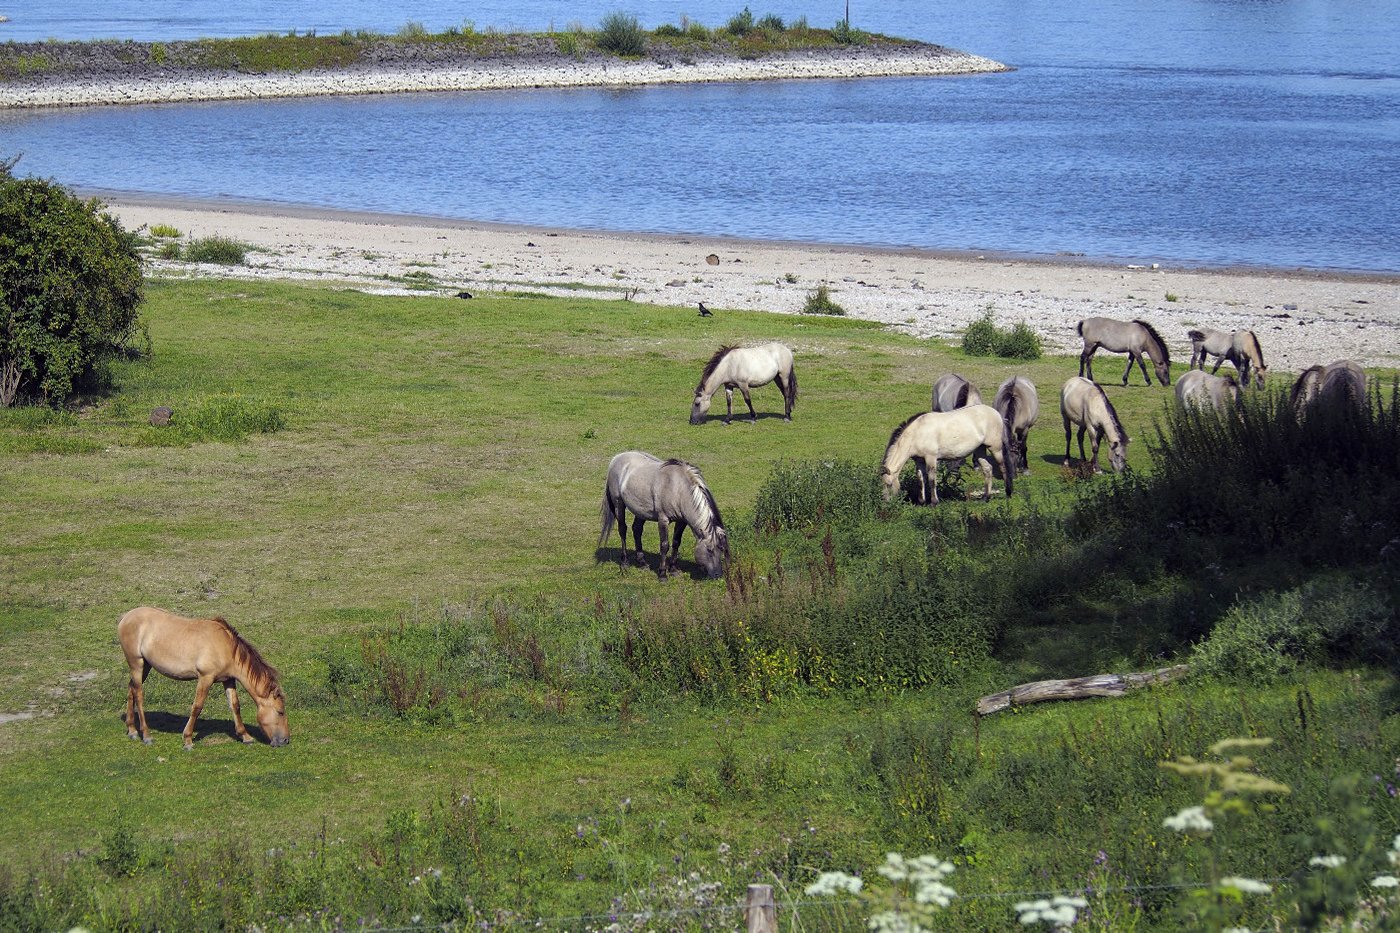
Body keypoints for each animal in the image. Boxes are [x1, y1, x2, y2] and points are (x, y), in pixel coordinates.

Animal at [117, 602, 289, 750]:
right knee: (139, 695)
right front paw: (187, 740)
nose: (286, 740)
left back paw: (132, 730)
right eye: (280, 712)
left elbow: (235, 705)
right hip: (136, 664)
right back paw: (146, 735)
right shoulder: (205, 678)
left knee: (131, 688)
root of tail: (125, 617)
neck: (225, 646)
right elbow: (197, 707)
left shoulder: (228, 680)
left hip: (145, 666)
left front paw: (245, 736)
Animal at [599, 448, 733, 577]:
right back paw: (624, 563)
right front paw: (662, 573)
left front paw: (673, 569)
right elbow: (664, 545)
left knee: (637, 530)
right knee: (622, 530)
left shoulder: (681, 521)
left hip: (641, 511)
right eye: (709, 550)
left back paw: (642, 563)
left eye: (721, 549)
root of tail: (617, 458)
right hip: (619, 504)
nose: (717, 574)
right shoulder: (663, 520)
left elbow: (676, 542)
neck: (678, 489)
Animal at [879, 406, 1013, 504]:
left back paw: (1008, 493)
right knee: (987, 469)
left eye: (889, 484)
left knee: (1003, 467)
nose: (886, 502)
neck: (917, 433)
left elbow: (932, 479)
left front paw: (934, 502)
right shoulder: (919, 460)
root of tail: (996, 413)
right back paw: (986, 497)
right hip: (980, 450)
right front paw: (922, 501)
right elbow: (920, 479)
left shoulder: (931, 458)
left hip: (995, 448)